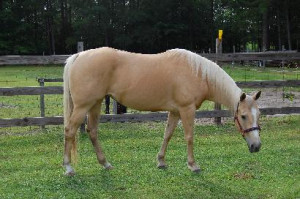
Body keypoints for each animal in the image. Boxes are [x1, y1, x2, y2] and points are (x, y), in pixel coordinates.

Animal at [62, 47, 260, 175]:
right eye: (243, 116)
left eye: (258, 115)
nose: (256, 146)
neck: (197, 73)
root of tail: (78, 56)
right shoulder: (186, 109)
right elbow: (189, 137)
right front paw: (193, 165)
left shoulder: (175, 111)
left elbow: (168, 134)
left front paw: (161, 161)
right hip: (83, 106)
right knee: (70, 131)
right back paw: (68, 168)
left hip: (95, 104)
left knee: (92, 131)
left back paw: (106, 164)